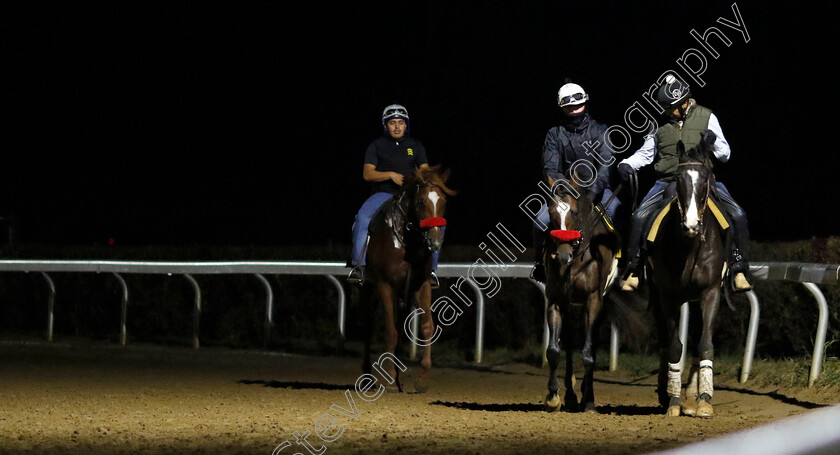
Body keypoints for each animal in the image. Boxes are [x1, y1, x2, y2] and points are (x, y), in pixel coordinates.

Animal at [360, 166, 456, 394]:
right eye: (420, 202)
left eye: (443, 202)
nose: (435, 240)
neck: (406, 241)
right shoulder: (384, 284)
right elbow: (391, 332)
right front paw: (389, 380)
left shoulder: (421, 284)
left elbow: (427, 326)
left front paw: (422, 378)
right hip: (369, 288)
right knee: (369, 325)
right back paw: (370, 376)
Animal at [540, 177, 620, 414]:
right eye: (551, 212)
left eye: (574, 213)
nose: (563, 255)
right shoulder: (556, 300)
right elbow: (554, 351)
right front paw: (553, 396)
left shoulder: (593, 300)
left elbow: (588, 353)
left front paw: (590, 399)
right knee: (569, 343)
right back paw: (571, 395)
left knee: (589, 344)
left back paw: (584, 393)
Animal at [648, 133, 724, 416]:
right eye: (679, 180)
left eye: (705, 179)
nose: (691, 225)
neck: (689, 247)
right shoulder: (666, 295)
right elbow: (673, 346)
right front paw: (673, 400)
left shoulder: (711, 292)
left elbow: (704, 343)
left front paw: (703, 398)